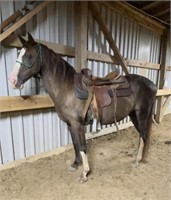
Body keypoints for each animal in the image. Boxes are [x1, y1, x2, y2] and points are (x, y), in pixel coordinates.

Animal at [9, 33, 156, 183]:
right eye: (18, 54)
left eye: (29, 56)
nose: (13, 81)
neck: (68, 88)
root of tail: (152, 85)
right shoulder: (70, 124)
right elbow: (75, 144)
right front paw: (75, 164)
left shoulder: (77, 124)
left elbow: (82, 146)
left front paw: (85, 173)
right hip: (133, 115)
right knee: (142, 135)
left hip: (141, 114)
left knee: (143, 134)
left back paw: (137, 160)